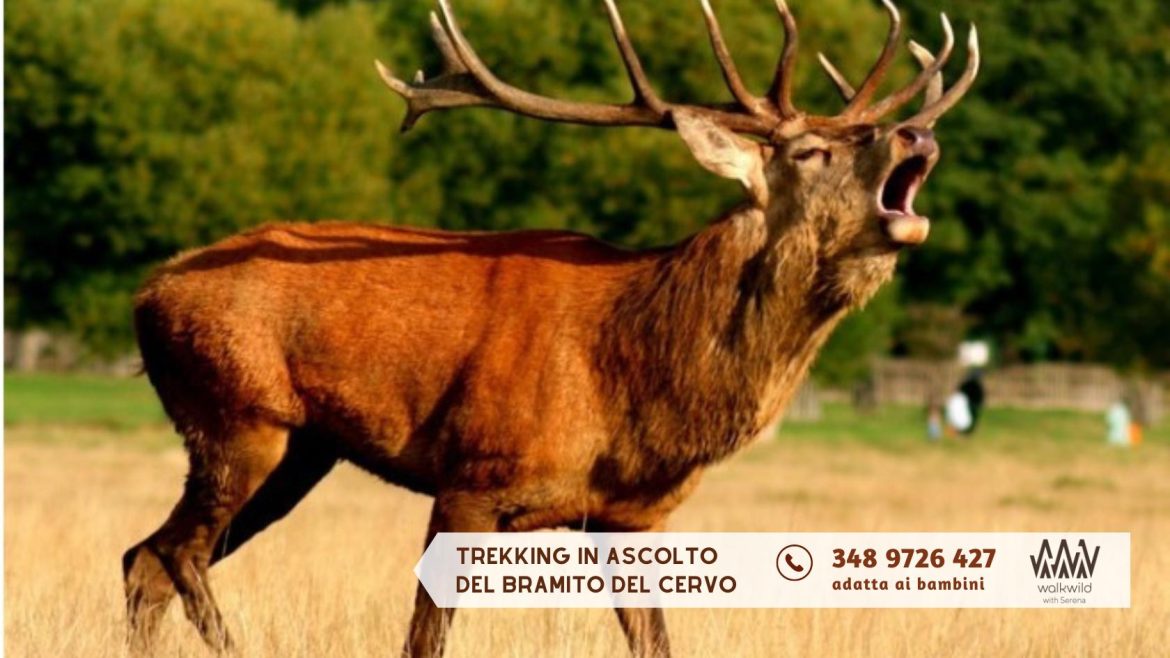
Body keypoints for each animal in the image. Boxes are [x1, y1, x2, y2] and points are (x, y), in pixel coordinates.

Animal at [122, 0, 978, 656]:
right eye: (807, 150)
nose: (917, 134)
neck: (632, 381)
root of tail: (147, 293)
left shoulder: (631, 517)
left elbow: (656, 643)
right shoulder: (472, 474)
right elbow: (426, 637)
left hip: (302, 449)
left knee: (146, 560)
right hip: (236, 415)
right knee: (174, 552)